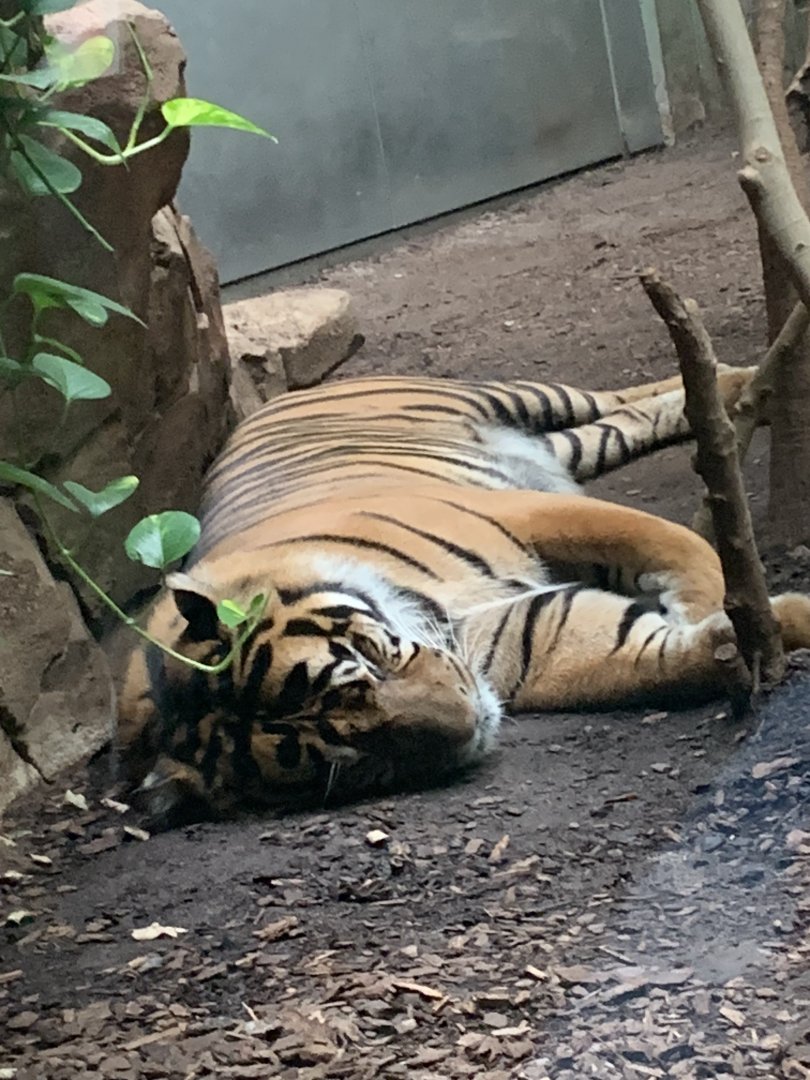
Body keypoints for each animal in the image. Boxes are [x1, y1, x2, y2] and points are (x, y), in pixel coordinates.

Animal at [118, 366, 810, 826]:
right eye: (349, 757)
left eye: (364, 666)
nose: (473, 722)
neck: (429, 611)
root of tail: (273, 402)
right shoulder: (528, 638)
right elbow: (646, 654)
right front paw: (738, 639)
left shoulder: (529, 513)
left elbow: (685, 551)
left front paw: (717, 610)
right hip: (562, 444)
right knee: (619, 422)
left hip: (513, 396)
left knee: (615, 395)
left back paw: (737, 382)